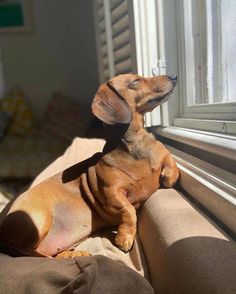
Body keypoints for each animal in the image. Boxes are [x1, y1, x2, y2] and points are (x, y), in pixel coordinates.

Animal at [0, 73, 178, 258]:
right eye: (135, 81)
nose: (173, 76)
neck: (135, 144)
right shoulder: (111, 193)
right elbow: (129, 210)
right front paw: (125, 237)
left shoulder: (162, 154)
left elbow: (170, 160)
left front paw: (169, 176)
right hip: (38, 219)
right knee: (31, 253)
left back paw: (73, 254)